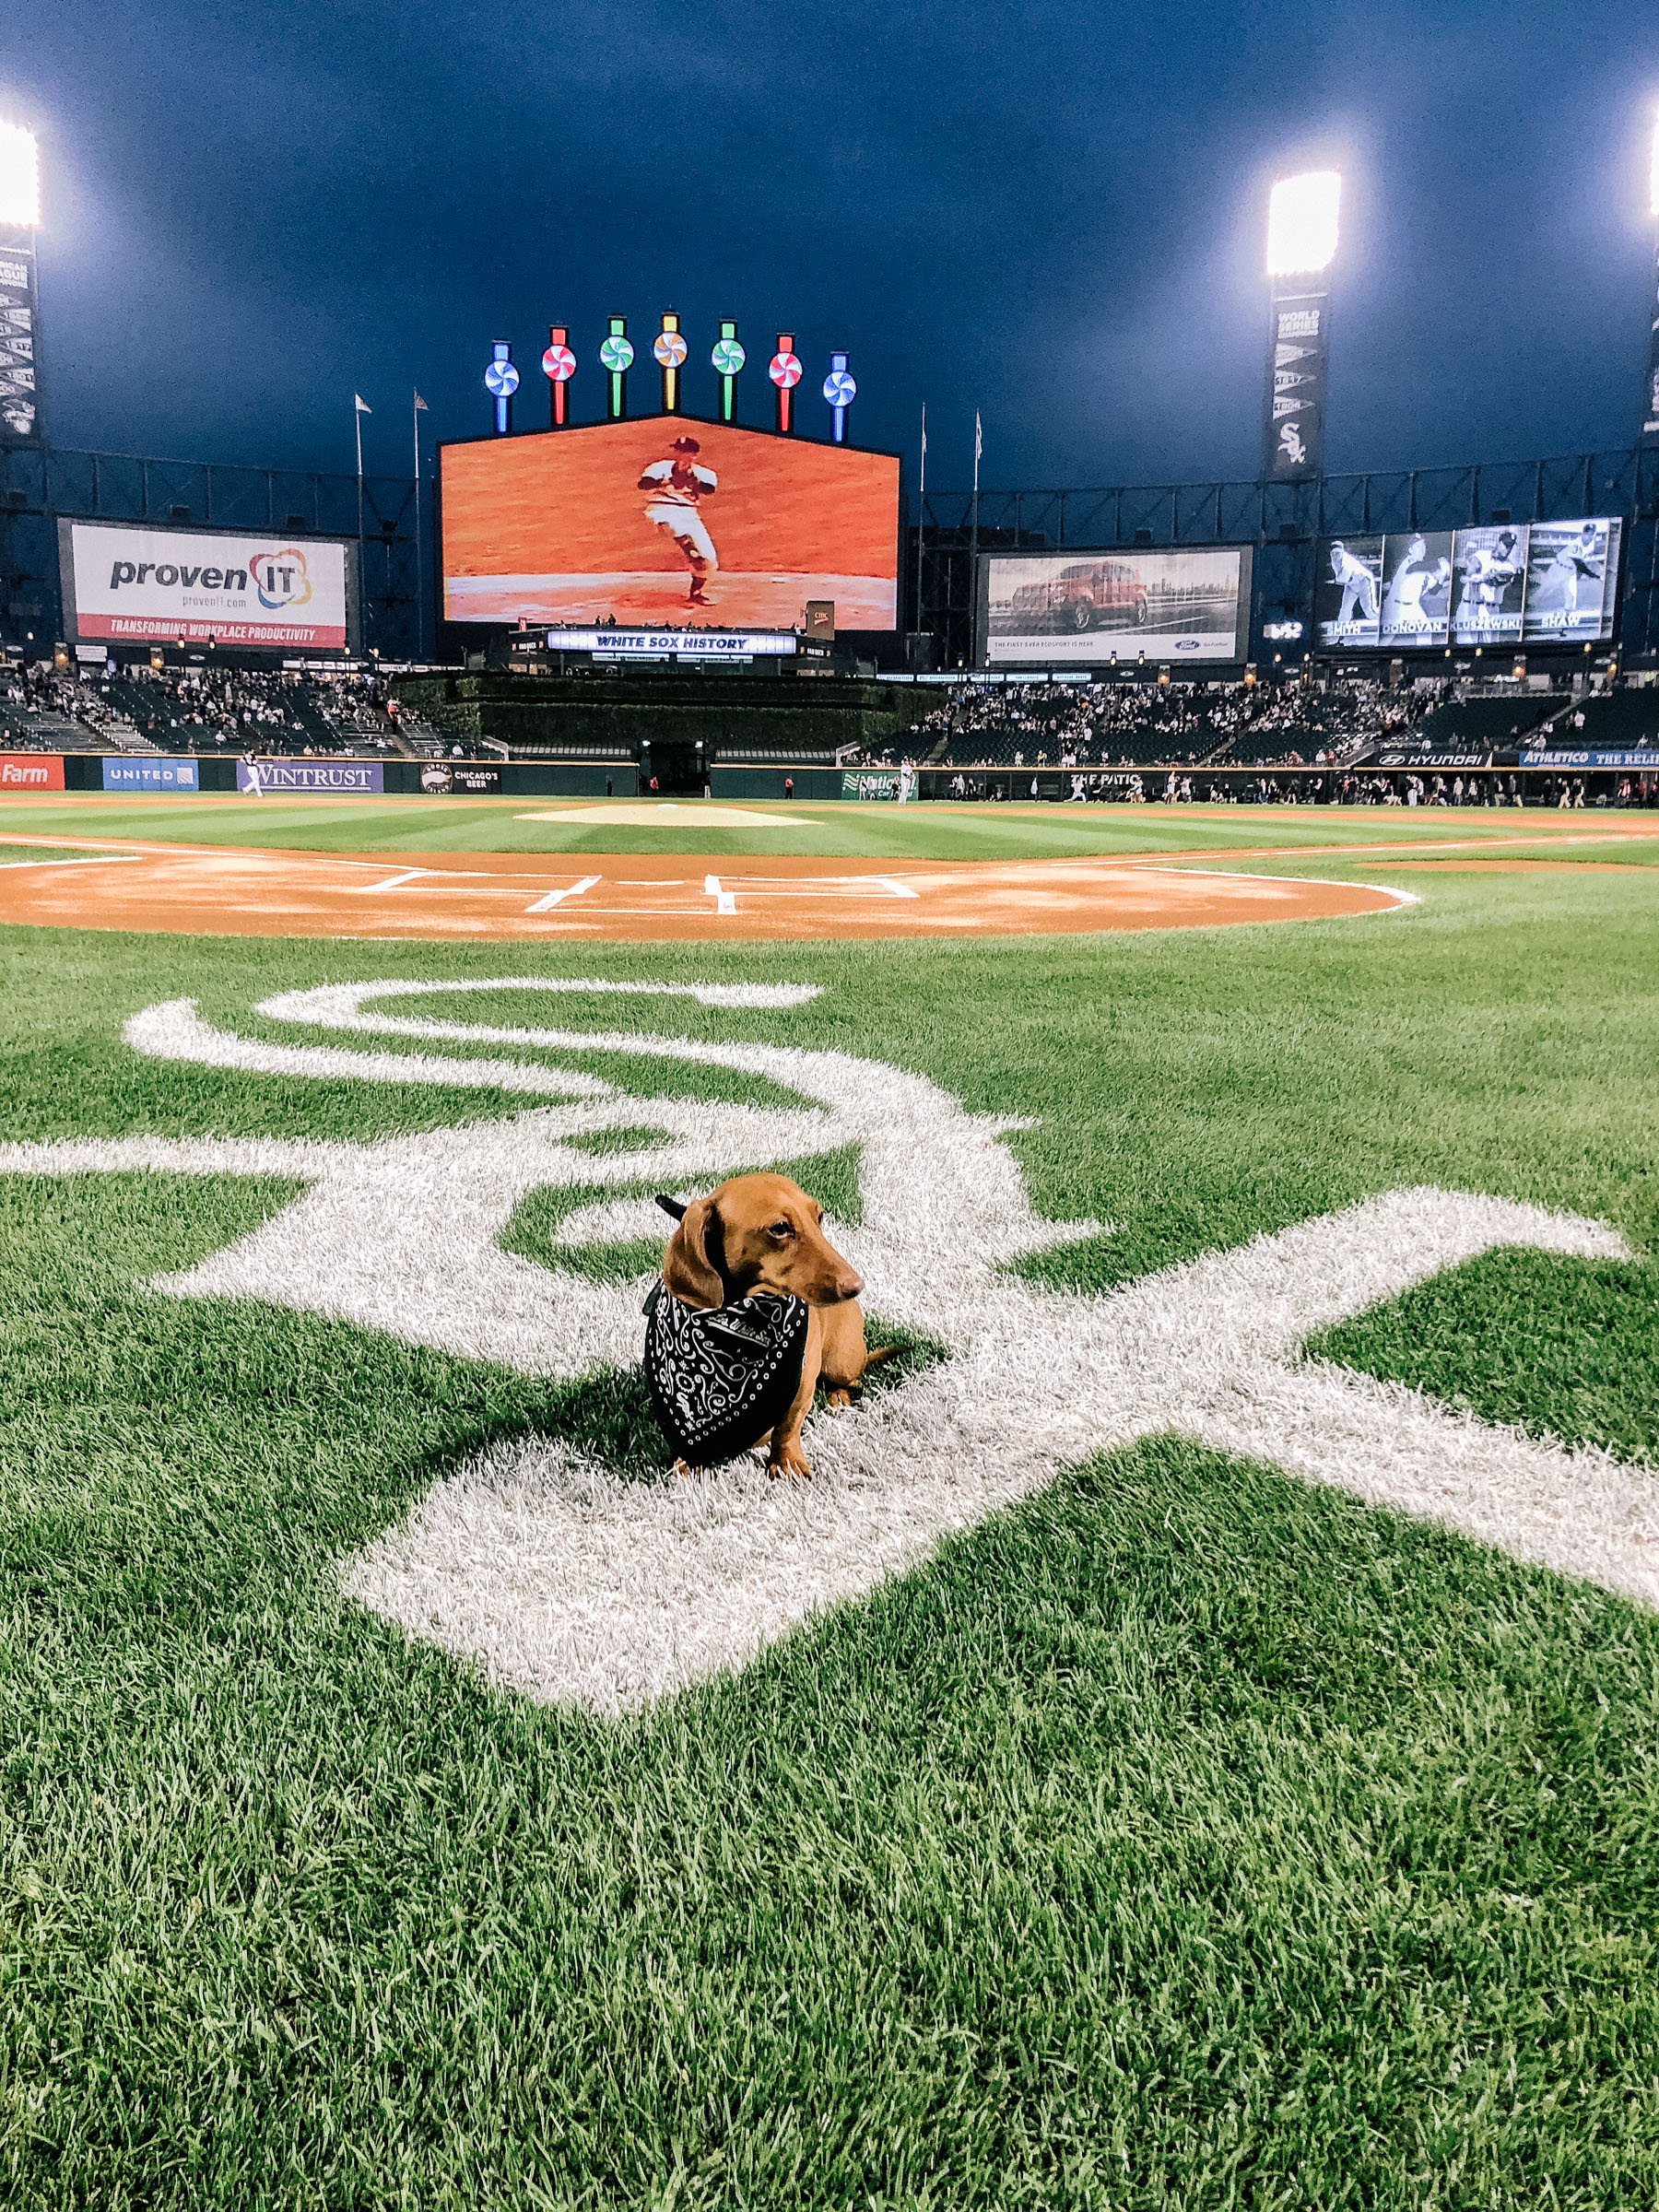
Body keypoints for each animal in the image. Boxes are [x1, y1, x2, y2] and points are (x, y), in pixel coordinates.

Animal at [664, 1168, 898, 1477]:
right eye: (779, 1228)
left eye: (819, 1216)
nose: (856, 1286)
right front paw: (687, 1462)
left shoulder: (803, 1380)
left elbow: (788, 1426)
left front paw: (787, 1463)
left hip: (840, 1365)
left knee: (850, 1380)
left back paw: (839, 1398)